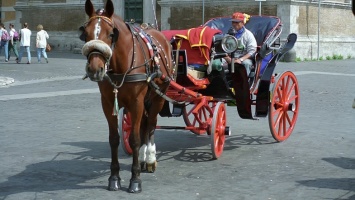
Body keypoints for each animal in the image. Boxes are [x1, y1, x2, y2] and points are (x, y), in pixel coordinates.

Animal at [81, 0, 175, 194]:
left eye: (111, 34)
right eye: (85, 33)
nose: (94, 69)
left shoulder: (136, 102)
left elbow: (134, 139)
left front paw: (135, 180)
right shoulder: (108, 103)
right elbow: (114, 139)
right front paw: (114, 178)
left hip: (158, 96)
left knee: (151, 125)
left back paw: (150, 159)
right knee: (145, 125)